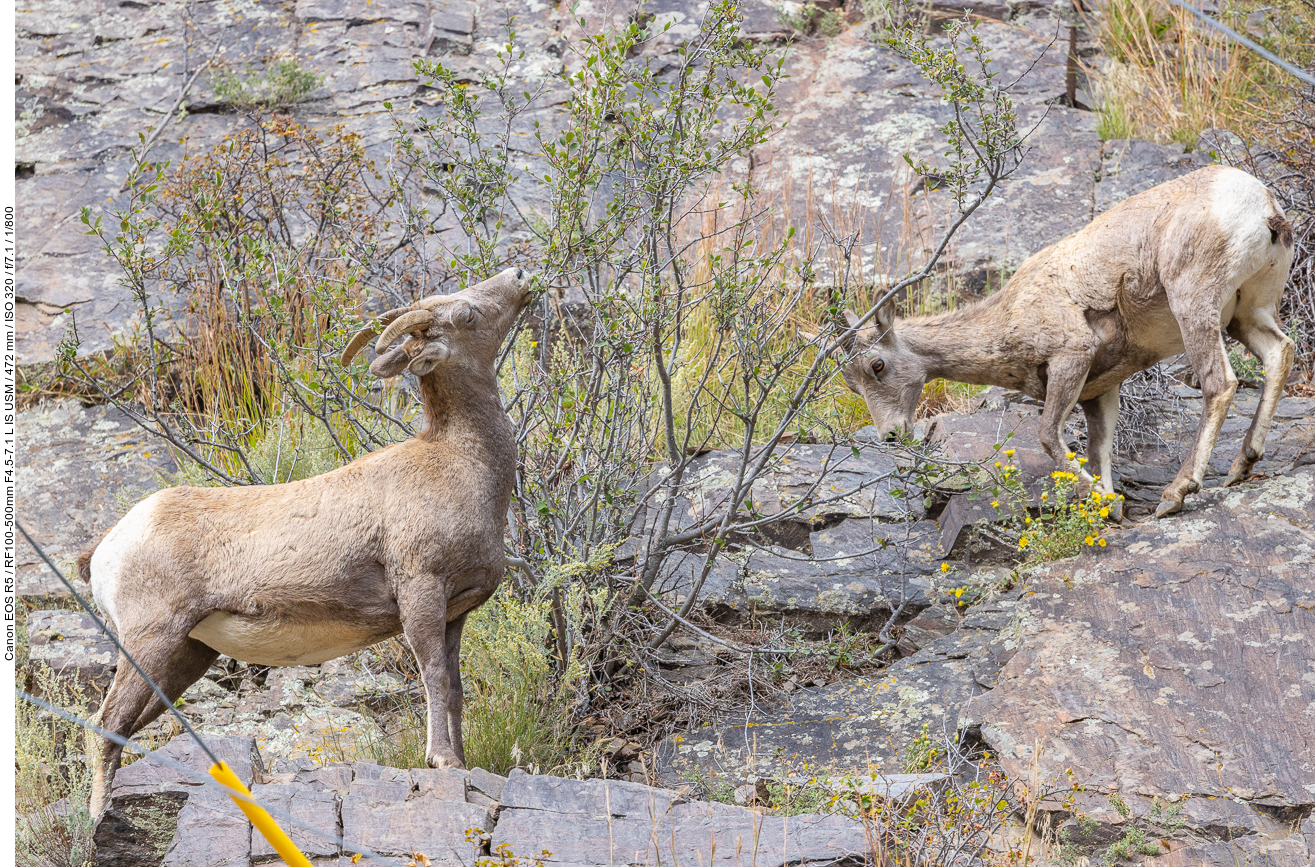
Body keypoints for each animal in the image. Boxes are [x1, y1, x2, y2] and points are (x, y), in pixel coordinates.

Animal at [76, 265, 526, 815]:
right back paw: (99, 817)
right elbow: (434, 676)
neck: (464, 465)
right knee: (105, 726)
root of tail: (109, 545)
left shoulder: (455, 612)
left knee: (124, 728)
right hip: (150, 640)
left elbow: (455, 687)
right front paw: (441, 761)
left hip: (186, 655)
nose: (520, 277)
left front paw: (459, 762)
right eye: (468, 314)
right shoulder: (421, 590)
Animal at [831, 166, 1293, 518]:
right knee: (1279, 352)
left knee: (1219, 383)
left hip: (1194, 304)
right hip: (1246, 314)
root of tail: (1264, 208)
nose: (891, 436)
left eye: (877, 366)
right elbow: (1099, 451)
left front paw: (1102, 501)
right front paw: (1113, 505)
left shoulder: (1071, 358)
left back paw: (1175, 494)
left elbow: (1049, 437)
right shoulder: (1100, 392)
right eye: (853, 384)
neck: (1007, 318)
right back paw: (1242, 465)